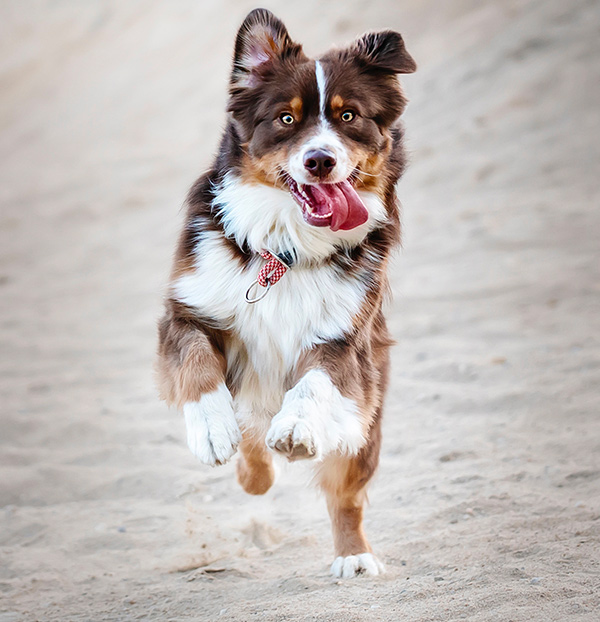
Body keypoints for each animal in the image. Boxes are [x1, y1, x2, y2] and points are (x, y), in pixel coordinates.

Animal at [157, 8, 414, 580]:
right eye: (286, 120)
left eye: (348, 116)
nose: (320, 161)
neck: (285, 249)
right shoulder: (187, 311)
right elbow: (196, 363)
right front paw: (212, 429)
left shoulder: (343, 339)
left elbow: (313, 384)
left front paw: (296, 428)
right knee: (253, 439)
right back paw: (251, 465)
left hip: (368, 415)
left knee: (346, 494)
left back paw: (352, 554)